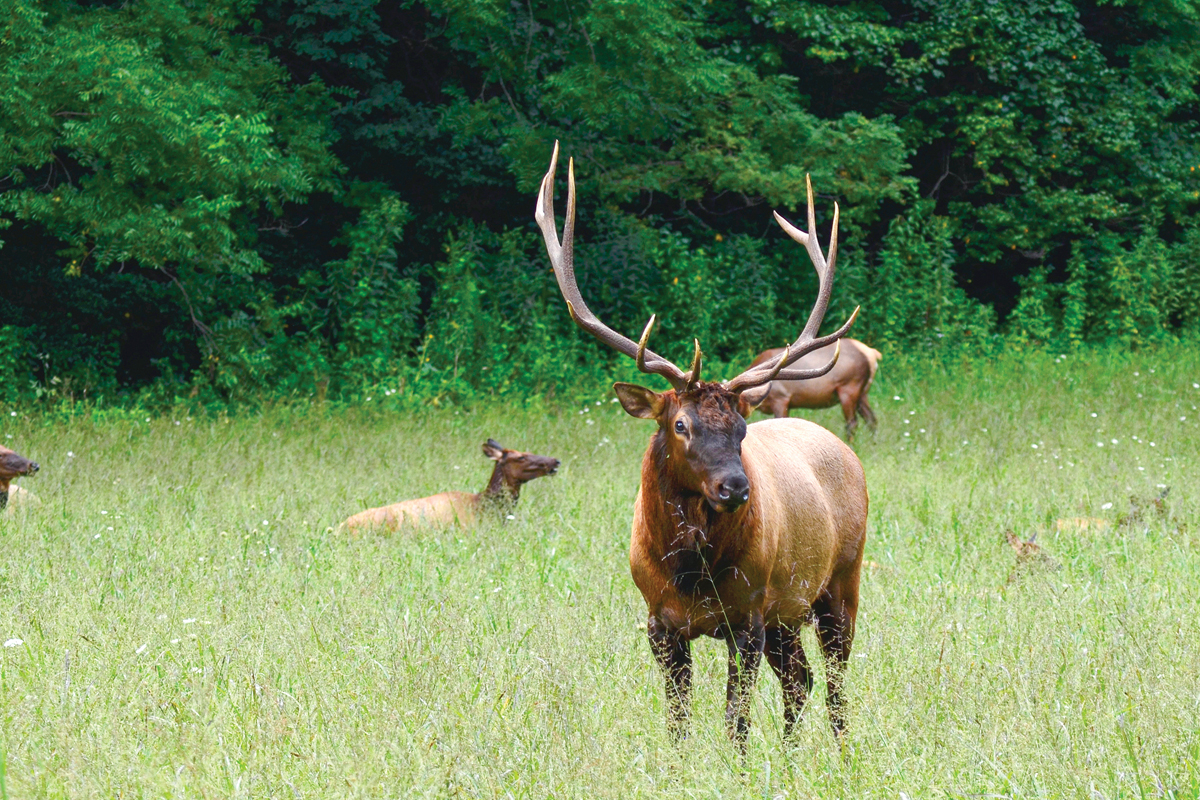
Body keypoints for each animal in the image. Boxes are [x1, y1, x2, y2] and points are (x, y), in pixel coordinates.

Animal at [540, 142, 868, 743]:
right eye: (680, 425)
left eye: (741, 430)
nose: (735, 487)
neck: (691, 576)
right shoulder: (658, 624)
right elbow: (678, 721)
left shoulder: (749, 616)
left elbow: (736, 720)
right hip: (788, 615)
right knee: (801, 680)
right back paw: (792, 755)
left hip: (838, 584)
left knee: (834, 686)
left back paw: (840, 754)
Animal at [748, 338, 883, 438]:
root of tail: (872, 354)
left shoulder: (781, 398)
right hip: (863, 392)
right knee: (872, 419)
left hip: (849, 387)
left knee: (852, 423)